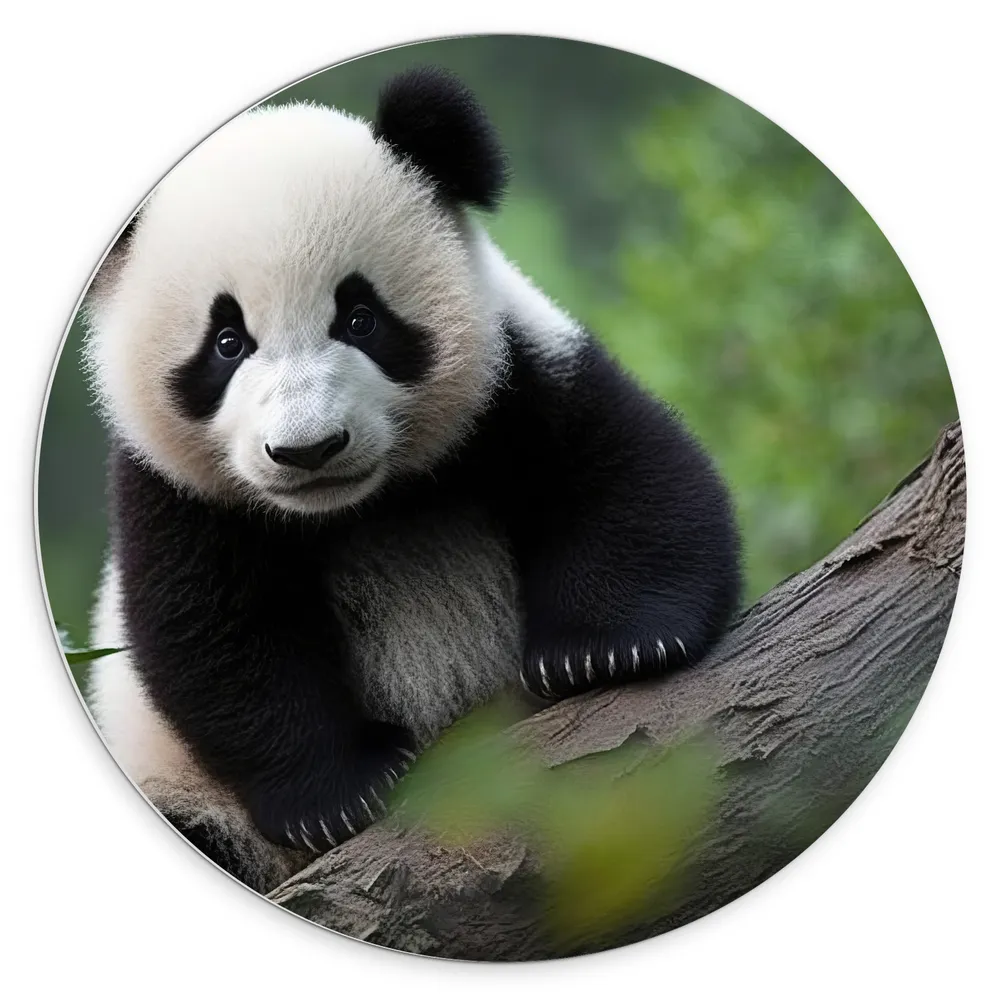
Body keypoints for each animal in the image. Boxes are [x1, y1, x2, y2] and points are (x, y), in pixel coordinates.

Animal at [83, 67, 741, 894]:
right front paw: (340, 792)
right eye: (227, 342)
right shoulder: (174, 490)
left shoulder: (513, 380)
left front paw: (608, 649)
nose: (310, 449)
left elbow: (623, 475)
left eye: (360, 318)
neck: (359, 506)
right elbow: (215, 634)